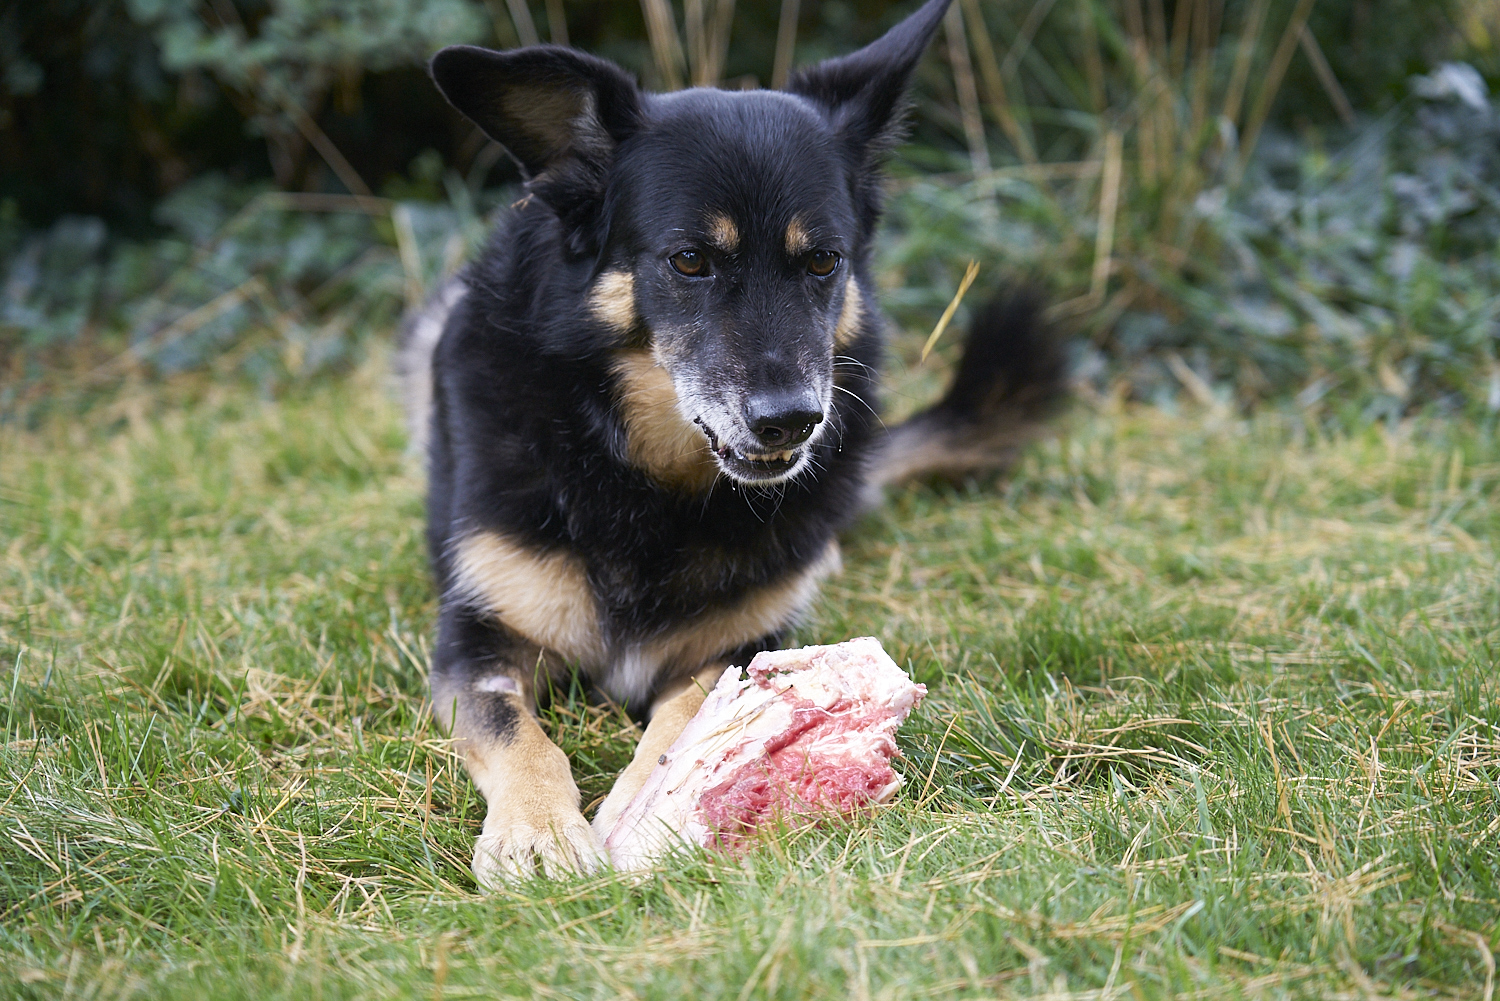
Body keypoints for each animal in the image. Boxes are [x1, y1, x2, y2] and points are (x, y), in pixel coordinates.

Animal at [401, 0, 1066, 885]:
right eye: (689, 259)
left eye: (823, 260)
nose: (793, 420)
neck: (638, 476)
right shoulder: (475, 644)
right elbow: (516, 733)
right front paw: (537, 830)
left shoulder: (739, 645)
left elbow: (687, 711)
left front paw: (646, 799)